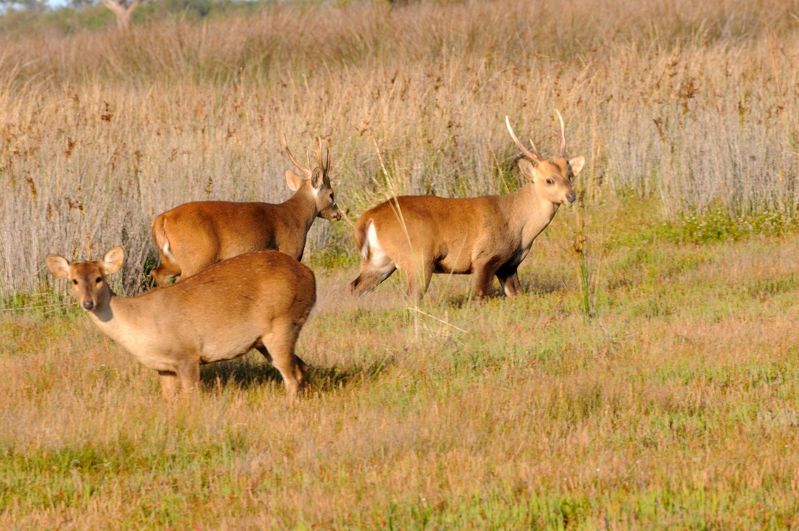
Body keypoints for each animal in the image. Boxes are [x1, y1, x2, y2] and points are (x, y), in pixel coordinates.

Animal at [46, 247, 316, 401]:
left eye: (99, 278)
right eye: (73, 281)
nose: (88, 303)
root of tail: (308, 274)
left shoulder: (187, 354)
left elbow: (191, 398)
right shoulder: (163, 366)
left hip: (283, 321)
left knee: (291, 376)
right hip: (265, 338)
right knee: (301, 367)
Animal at [150, 136, 342, 287]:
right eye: (331, 194)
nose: (338, 214)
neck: (297, 216)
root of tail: (162, 219)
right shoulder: (289, 248)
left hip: (172, 259)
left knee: (157, 273)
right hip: (197, 257)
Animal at [350, 112, 585, 300]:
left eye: (570, 175)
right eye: (549, 180)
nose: (571, 196)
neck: (518, 227)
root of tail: (369, 218)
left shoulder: (509, 265)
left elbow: (516, 295)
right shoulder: (485, 257)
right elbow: (479, 296)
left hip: (379, 260)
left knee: (355, 286)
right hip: (417, 257)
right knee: (411, 297)